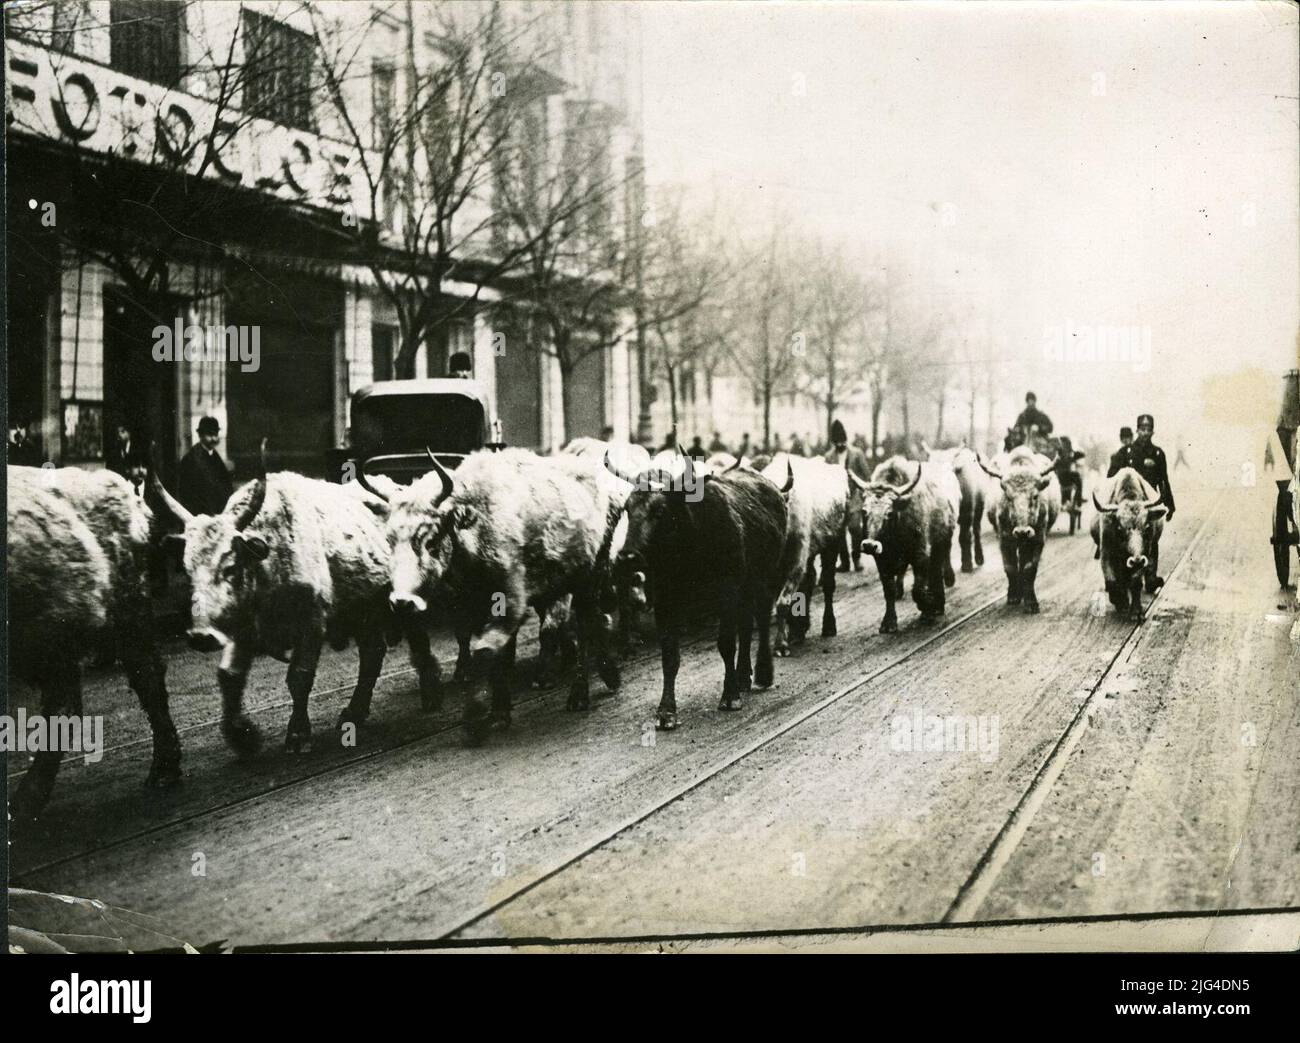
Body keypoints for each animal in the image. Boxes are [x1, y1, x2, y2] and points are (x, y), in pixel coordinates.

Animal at [153, 442, 441, 754]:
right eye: (188, 568)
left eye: (229, 566)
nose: (201, 636)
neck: (267, 562)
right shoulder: (242, 629)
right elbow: (229, 675)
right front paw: (241, 736)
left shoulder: (311, 623)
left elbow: (299, 677)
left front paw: (298, 734)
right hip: (363, 610)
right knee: (372, 653)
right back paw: (355, 712)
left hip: (400, 601)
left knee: (415, 638)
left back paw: (430, 692)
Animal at [379, 447, 618, 738]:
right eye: (390, 540)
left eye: (431, 540)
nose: (402, 602)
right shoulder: (474, 609)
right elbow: (494, 654)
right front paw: (499, 713)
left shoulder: (511, 602)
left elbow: (486, 652)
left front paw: (475, 717)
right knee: (587, 622)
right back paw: (605, 674)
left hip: (589, 578)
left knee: (585, 627)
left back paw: (579, 693)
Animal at [847, 457, 961, 634]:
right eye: (864, 511)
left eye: (889, 513)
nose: (869, 545)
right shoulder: (882, 561)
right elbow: (889, 590)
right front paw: (889, 622)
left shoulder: (921, 555)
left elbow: (917, 590)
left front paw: (927, 607)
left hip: (941, 543)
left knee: (936, 571)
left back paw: (938, 604)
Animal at [977, 444, 1060, 608]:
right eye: (1008, 497)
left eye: (1035, 496)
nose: (1022, 532)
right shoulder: (1004, 539)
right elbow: (1010, 568)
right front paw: (1013, 596)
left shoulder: (1038, 539)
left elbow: (1030, 568)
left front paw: (1031, 601)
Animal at [1086, 462, 1170, 619]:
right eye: (1119, 528)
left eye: (1147, 527)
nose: (1136, 560)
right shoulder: (1106, 551)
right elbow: (1112, 580)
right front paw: (1120, 601)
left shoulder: (1145, 554)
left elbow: (1136, 581)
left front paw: (1136, 611)